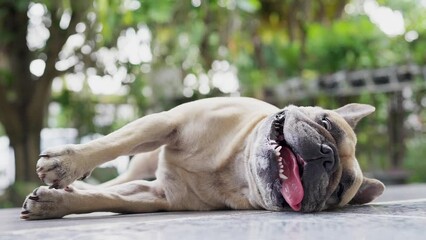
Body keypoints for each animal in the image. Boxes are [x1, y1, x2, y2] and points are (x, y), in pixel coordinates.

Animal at [20, 97, 386, 219]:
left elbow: (106, 199)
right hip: (144, 160)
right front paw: (65, 163)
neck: (236, 169)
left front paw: (56, 204)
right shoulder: (165, 123)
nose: (326, 157)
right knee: (120, 174)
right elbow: (112, 145)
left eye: (339, 192)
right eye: (326, 122)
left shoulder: (159, 197)